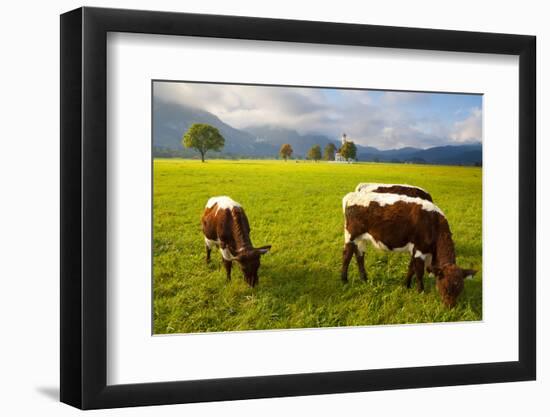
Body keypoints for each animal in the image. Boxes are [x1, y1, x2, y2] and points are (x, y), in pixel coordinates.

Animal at [342, 191, 476, 306]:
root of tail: (352, 195)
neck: (434, 223)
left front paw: (406, 285)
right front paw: (421, 291)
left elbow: (411, 268)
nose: (450, 307)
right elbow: (419, 272)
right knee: (347, 255)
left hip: (361, 238)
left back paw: (364, 279)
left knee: (359, 255)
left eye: (460, 289)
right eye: (446, 287)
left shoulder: (415, 250)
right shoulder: (420, 250)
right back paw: (344, 280)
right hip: (351, 235)